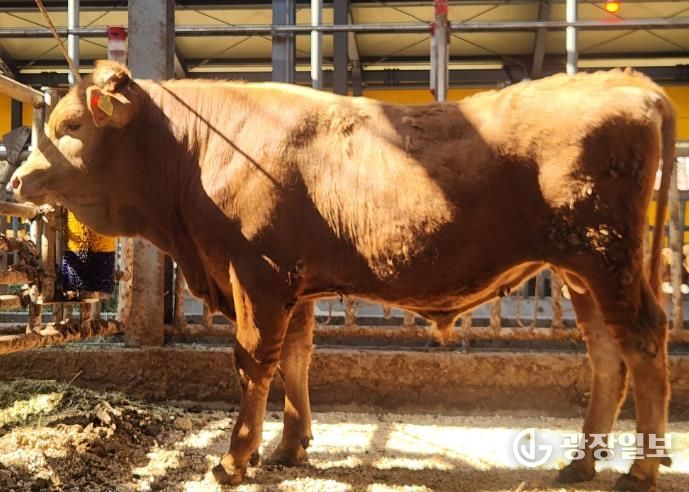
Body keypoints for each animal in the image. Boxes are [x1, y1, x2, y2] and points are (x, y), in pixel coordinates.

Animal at [8, 61, 675, 491]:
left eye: (72, 126)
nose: (16, 179)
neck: (196, 151)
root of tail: (624, 82)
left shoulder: (257, 275)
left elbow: (253, 361)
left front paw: (235, 459)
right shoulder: (294, 285)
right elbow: (296, 359)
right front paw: (289, 445)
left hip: (606, 260)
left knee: (643, 343)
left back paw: (640, 467)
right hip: (579, 272)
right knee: (606, 356)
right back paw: (583, 462)